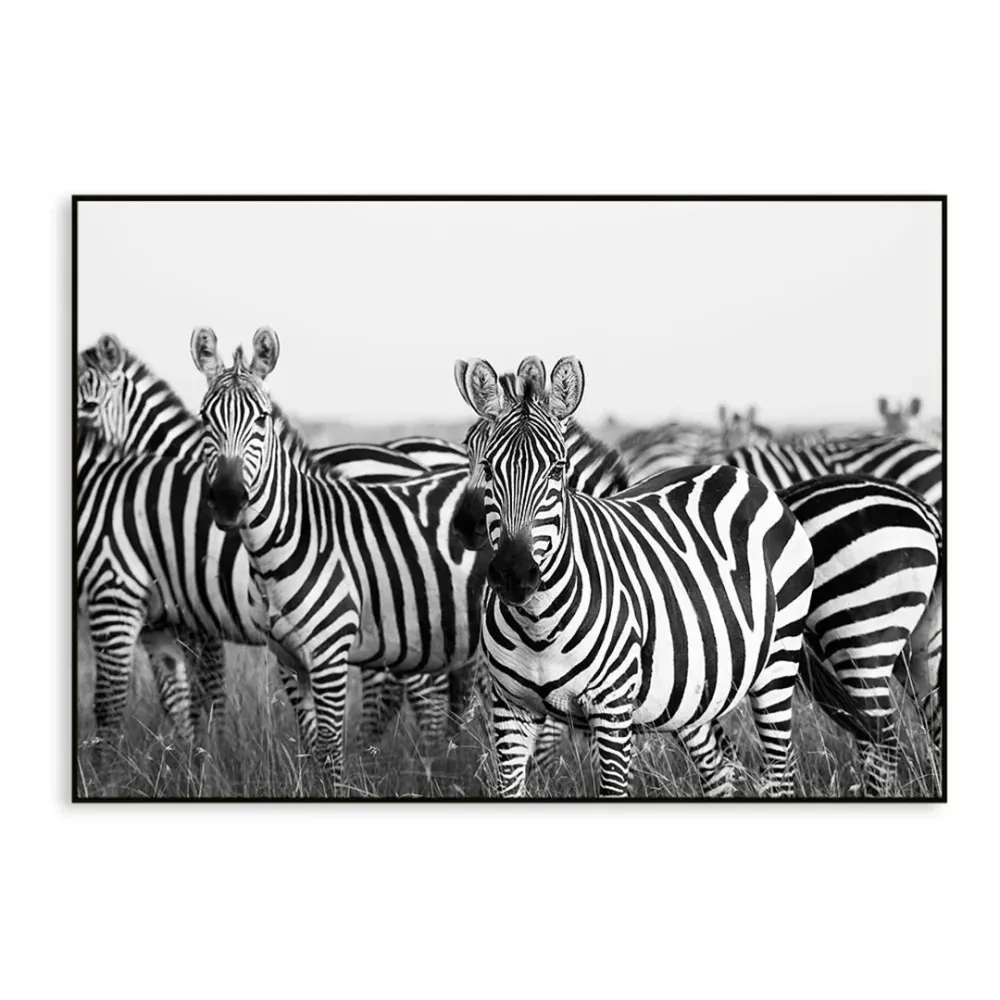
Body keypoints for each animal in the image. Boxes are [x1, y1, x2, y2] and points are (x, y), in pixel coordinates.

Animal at [190, 325, 490, 782]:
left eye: (262, 419)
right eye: (206, 419)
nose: (226, 499)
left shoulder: (329, 656)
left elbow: (331, 750)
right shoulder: (288, 661)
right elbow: (311, 745)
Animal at [453, 363, 943, 796]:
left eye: (557, 470)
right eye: (472, 454)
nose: (464, 526)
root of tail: (922, 510)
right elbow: (719, 767)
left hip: (851, 645)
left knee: (875, 745)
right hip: (919, 649)